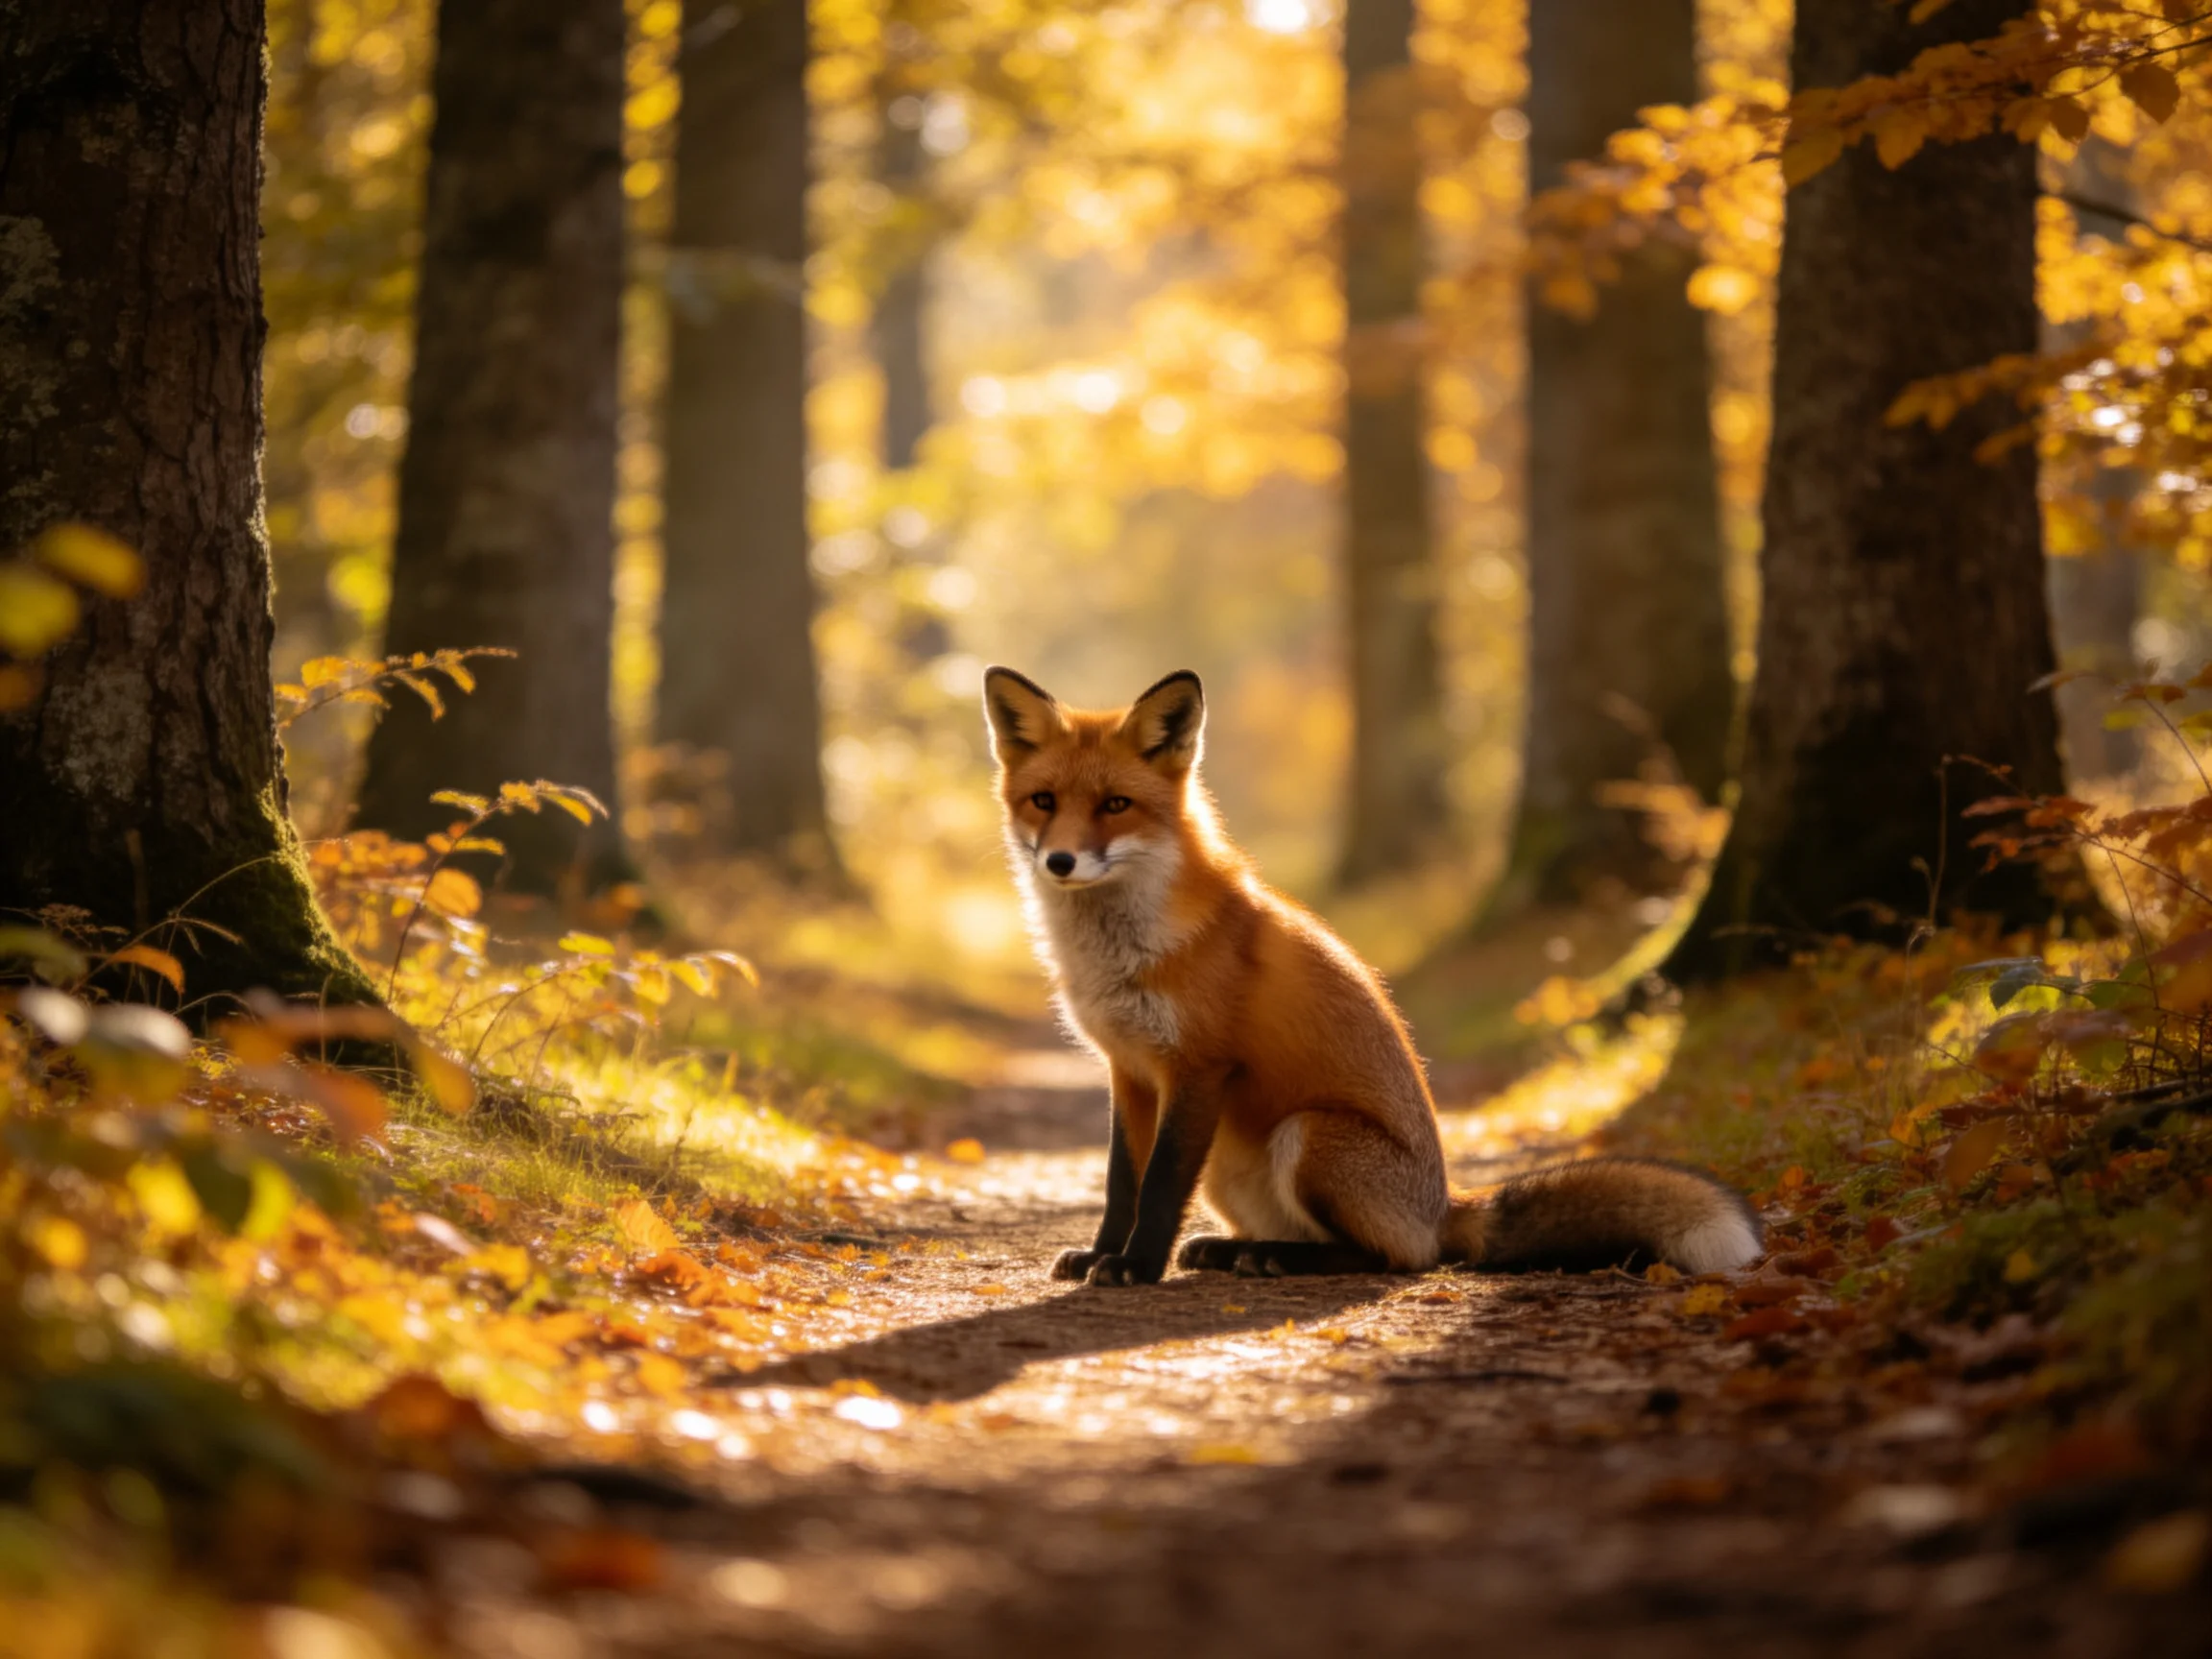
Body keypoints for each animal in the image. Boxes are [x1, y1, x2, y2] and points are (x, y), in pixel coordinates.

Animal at [983, 665, 1763, 1287]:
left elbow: (1159, 1186)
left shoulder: (1196, 1067)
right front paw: (1100, 1256)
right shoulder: (1130, 1071)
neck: (1118, 953)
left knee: (1396, 1257)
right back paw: (1237, 1251)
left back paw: (1275, 1259)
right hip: (1234, 1164)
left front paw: (1137, 1268)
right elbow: (1121, 1183)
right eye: (1044, 802)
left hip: (1308, 1135)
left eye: (1116, 805)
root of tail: (1443, 1204)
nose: (1059, 862)